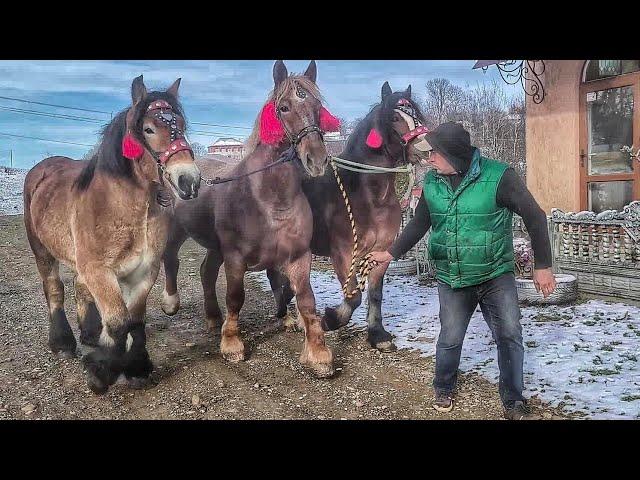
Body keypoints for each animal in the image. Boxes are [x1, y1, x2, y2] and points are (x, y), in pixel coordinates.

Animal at [23, 76, 200, 394]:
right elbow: (119, 322)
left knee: (80, 288)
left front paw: (137, 367)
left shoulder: (144, 271)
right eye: (149, 129)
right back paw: (63, 343)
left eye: (181, 124)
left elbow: (135, 320)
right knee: (54, 289)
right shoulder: (100, 271)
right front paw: (100, 373)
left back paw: (91, 335)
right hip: (42, 250)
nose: (189, 180)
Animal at [162, 60, 342, 376]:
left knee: (207, 272)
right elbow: (236, 297)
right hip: (176, 231)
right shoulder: (235, 257)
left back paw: (213, 318)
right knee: (171, 259)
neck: (266, 198)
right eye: (283, 107)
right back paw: (172, 304)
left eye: (318, 107)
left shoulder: (299, 255)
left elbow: (306, 299)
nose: (317, 160)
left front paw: (318, 353)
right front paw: (232, 344)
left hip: (215, 247)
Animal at [264, 81, 430, 352]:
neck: (368, 196)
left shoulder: (380, 252)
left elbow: (374, 294)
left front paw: (378, 335)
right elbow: (354, 297)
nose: (426, 148)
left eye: (417, 116)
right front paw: (330, 320)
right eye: (395, 117)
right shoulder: (343, 253)